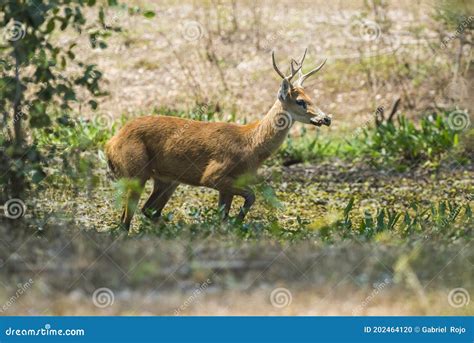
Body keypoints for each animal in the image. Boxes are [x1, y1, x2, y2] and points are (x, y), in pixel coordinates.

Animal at [105, 49, 332, 231]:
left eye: (311, 97)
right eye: (301, 101)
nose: (326, 118)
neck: (251, 145)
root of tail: (110, 144)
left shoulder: (230, 183)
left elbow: (223, 216)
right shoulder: (213, 174)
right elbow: (251, 196)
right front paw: (238, 221)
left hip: (167, 179)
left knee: (149, 210)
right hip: (135, 170)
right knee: (126, 220)